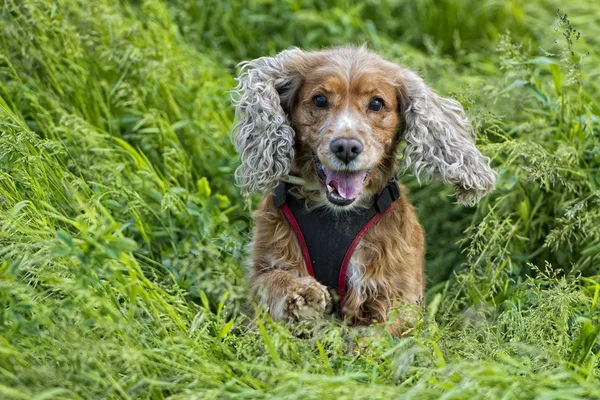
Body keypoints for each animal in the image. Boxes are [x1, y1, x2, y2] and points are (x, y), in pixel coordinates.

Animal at [232, 45, 494, 336]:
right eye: (320, 100)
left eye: (376, 104)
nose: (346, 147)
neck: (335, 213)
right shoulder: (266, 262)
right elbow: (272, 281)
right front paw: (303, 294)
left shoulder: (399, 293)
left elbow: (378, 331)